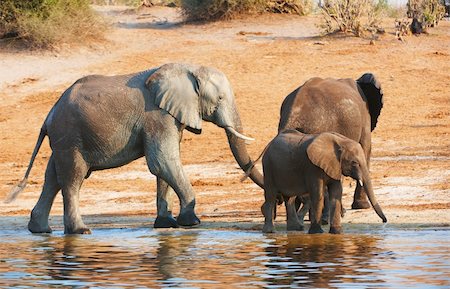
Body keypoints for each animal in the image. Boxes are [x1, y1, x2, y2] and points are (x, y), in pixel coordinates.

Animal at [7, 62, 264, 234]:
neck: (187, 68)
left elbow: (165, 165)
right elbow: (162, 161)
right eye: (219, 99)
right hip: (70, 136)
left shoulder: (170, 115)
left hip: (64, 139)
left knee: (53, 177)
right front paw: (191, 222)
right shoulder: (157, 116)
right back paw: (80, 231)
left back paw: (40, 230)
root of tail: (49, 115)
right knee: (72, 178)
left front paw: (166, 225)